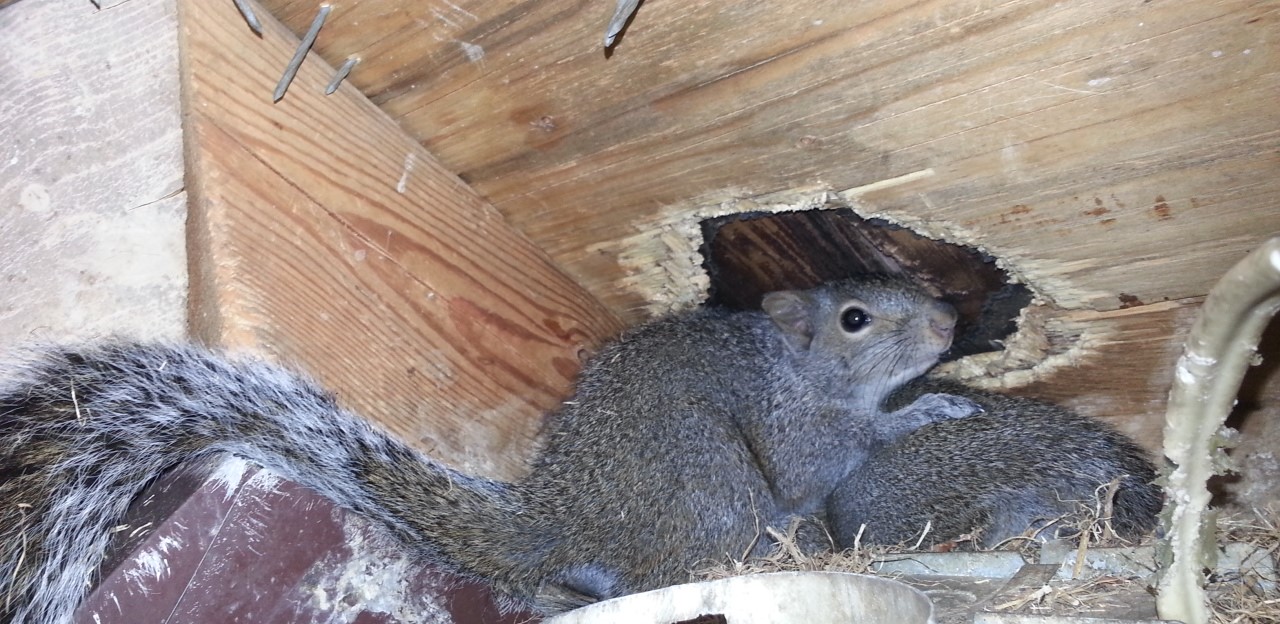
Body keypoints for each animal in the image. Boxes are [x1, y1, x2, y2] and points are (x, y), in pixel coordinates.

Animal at [0, 276, 977, 624]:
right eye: (856, 318)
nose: (947, 320)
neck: (797, 366)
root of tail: (561, 516)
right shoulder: (793, 427)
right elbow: (826, 456)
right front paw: (922, 409)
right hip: (716, 496)